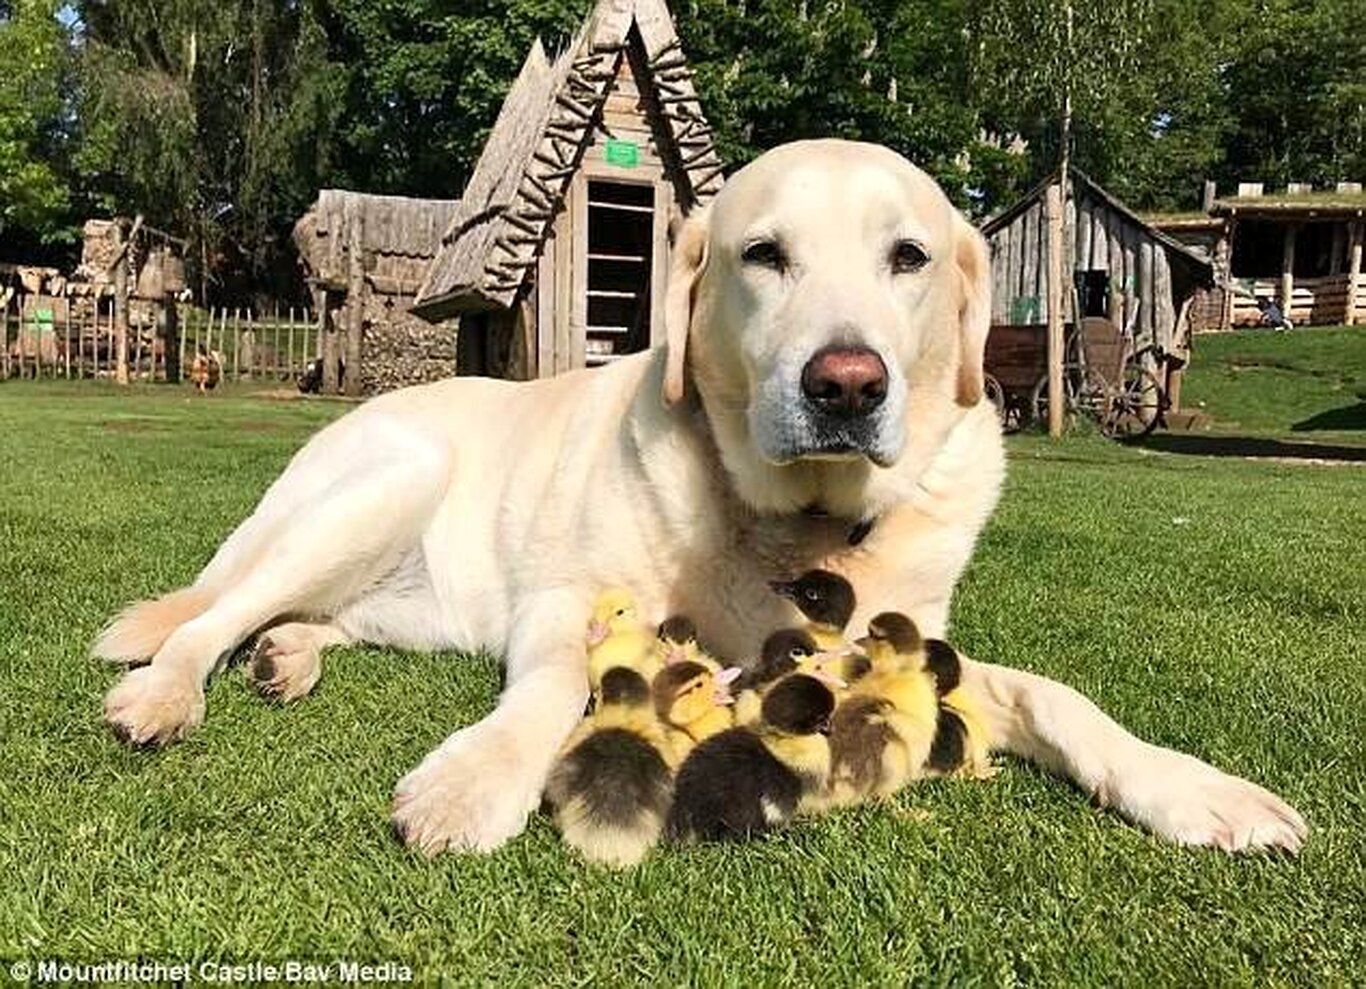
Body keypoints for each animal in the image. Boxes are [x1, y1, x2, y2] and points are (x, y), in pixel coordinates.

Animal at [96, 140, 1300, 857]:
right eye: (762, 254)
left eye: (908, 256)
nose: (846, 383)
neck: (801, 523)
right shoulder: (564, 597)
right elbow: (547, 689)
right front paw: (474, 780)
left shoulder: (919, 643)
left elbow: (1060, 696)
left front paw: (1200, 789)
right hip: (385, 482)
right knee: (214, 611)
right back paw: (169, 690)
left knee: (308, 616)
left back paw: (288, 657)